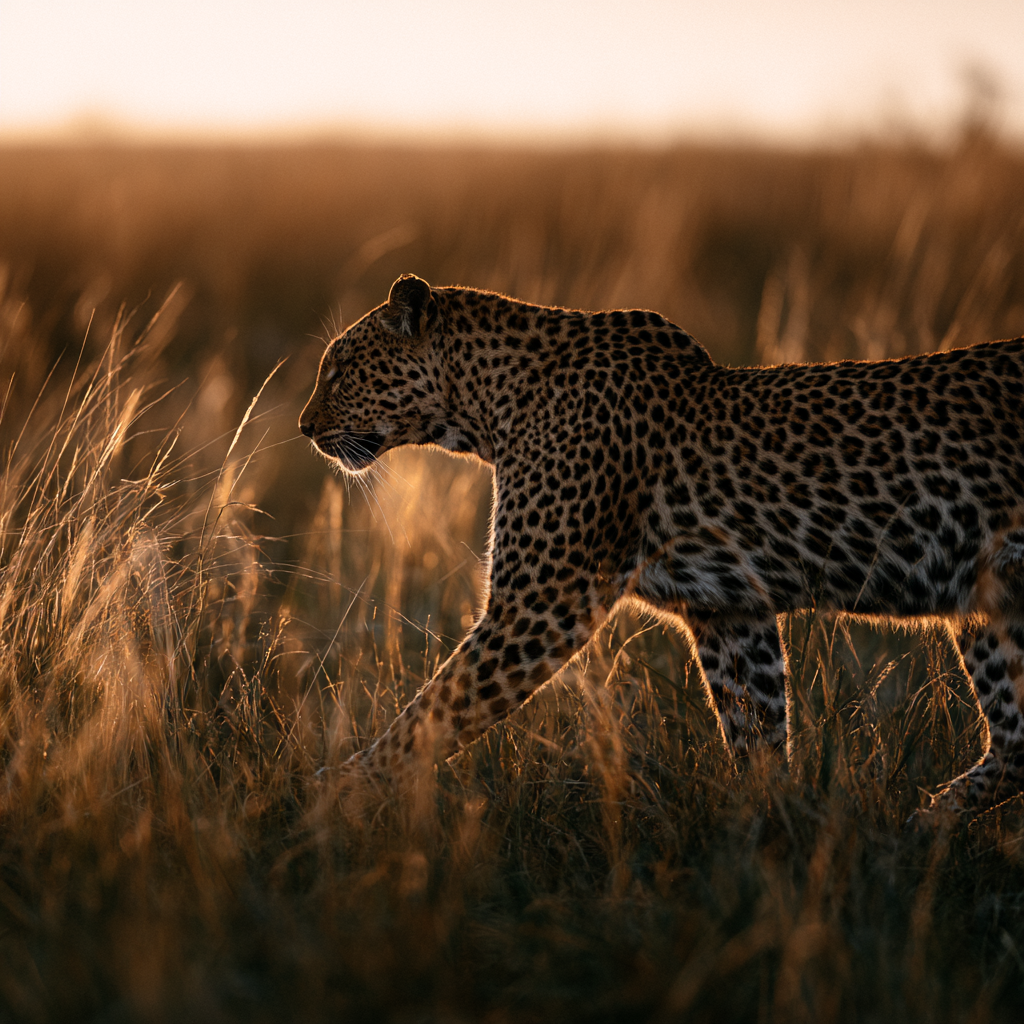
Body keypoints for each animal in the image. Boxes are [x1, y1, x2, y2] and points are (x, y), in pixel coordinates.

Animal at [299, 272, 1024, 821]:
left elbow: (431, 713)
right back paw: (921, 830)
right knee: (1016, 743)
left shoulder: (539, 604)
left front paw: (333, 800)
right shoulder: (729, 614)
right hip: (990, 605)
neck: (489, 407)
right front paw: (771, 834)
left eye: (338, 370)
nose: (305, 428)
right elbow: (756, 730)